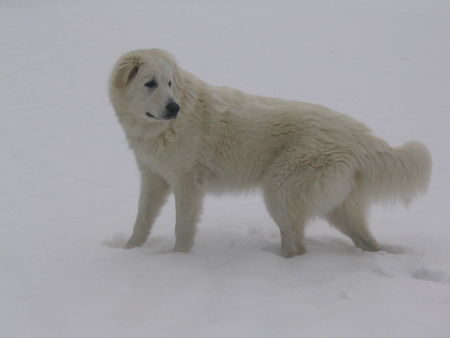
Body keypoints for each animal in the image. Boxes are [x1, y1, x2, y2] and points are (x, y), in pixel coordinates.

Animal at [107, 48, 430, 258]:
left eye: (170, 83)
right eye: (150, 83)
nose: (174, 108)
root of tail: (359, 134)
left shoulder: (188, 183)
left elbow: (182, 228)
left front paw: (178, 261)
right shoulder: (154, 178)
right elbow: (142, 220)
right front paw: (128, 252)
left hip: (280, 191)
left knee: (297, 245)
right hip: (337, 207)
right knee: (366, 241)